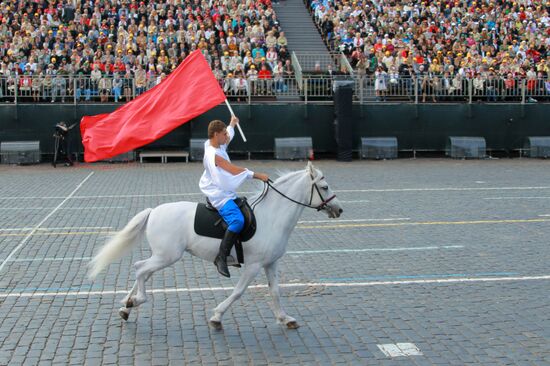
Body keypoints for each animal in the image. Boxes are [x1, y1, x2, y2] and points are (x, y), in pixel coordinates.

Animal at [88, 162, 342, 328]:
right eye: (325, 187)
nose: (339, 210)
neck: (272, 217)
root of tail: (153, 211)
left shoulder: (270, 264)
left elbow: (275, 292)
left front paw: (285, 318)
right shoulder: (253, 266)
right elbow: (238, 292)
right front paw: (217, 316)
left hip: (161, 256)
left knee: (144, 272)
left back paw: (126, 305)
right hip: (167, 256)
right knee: (140, 268)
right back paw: (136, 300)